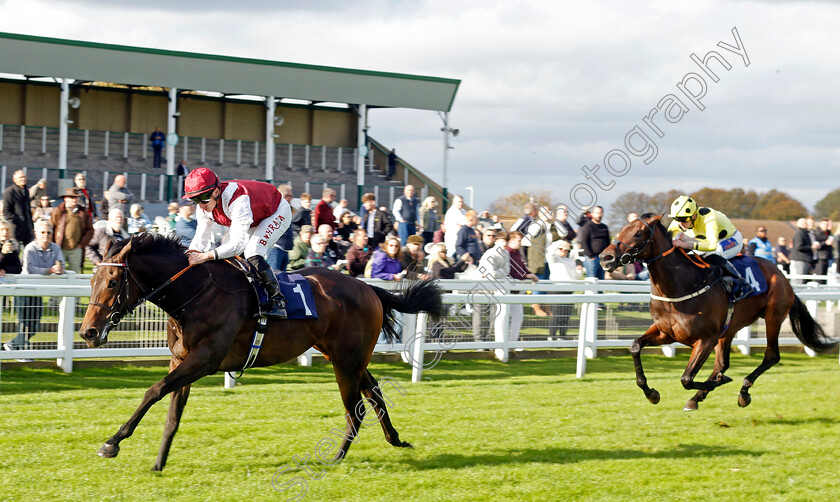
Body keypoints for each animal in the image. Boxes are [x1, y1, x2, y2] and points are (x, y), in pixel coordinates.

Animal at [79, 233, 446, 472]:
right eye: (92, 280)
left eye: (112, 282)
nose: (88, 332)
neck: (195, 293)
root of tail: (367, 287)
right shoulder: (181, 360)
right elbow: (172, 415)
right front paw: (158, 462)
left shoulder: (205, 359)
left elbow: (153, 391)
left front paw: (112, 443)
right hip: (342, 356)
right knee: (373, 391)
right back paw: (395, 439)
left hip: (346, 361)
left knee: (355, 410)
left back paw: (335, 458)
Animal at [600, 214, 836, 410]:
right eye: (621, 230)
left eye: (638, 233)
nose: (605, 258)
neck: (681, 286)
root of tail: (782, 275)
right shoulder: (666, 333)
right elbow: (635, 346)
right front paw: (651, 393)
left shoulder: (705, 339)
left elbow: (686, 378)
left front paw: (719, 382)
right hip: (728, 329)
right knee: (723, 363)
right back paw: (699, 396)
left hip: (773, 317)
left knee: (771, 356)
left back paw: (743, 392)